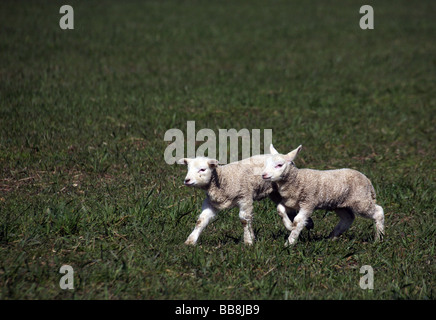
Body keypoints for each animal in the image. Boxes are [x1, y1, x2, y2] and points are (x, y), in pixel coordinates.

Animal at [177, 154, 314, 245]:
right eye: (188, 169)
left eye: (202, 169)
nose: (187, 180)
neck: (224, 179)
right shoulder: (212, 203)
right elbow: (201, 221)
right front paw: (190, 241)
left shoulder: (245, 197)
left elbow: (244, 220)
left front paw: (248, 241)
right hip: (275, 194)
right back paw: (304, 224)